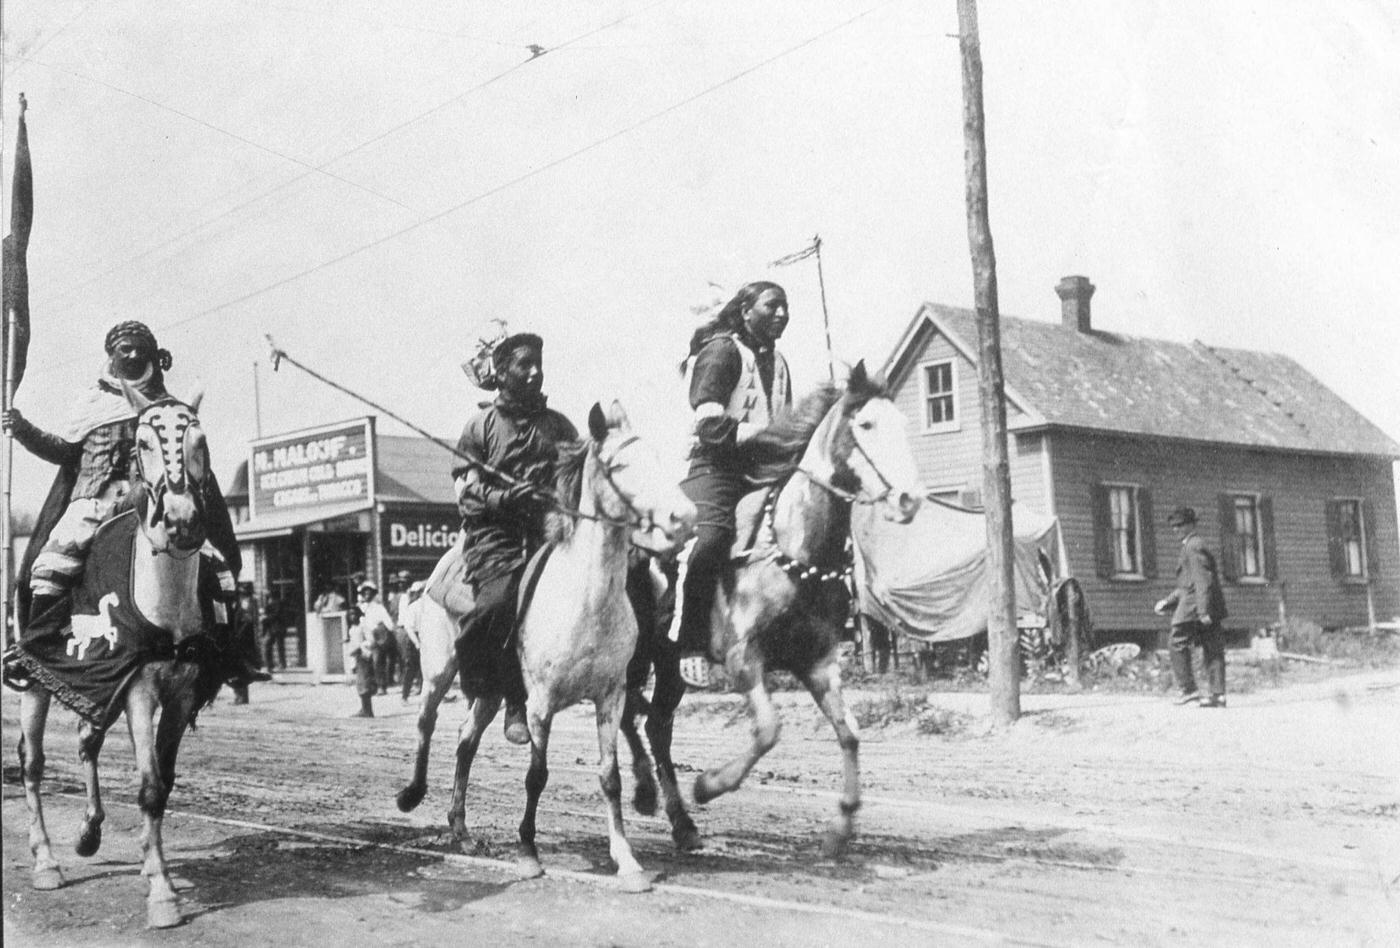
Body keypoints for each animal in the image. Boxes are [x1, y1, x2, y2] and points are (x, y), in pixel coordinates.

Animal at [618, 361, 924, 851]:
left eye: (903, 424)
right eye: (867, 425)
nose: (909, 499)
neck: (794, 546)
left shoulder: (818, 663)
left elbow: (850, 733)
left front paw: (841, 826)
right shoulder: (744, 659)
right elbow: (767, 731)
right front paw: (709, 785)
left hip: (668, 664)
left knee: (656, 725)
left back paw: (682, 823)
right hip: (633, 653)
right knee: (626, 712)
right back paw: (647, 792)